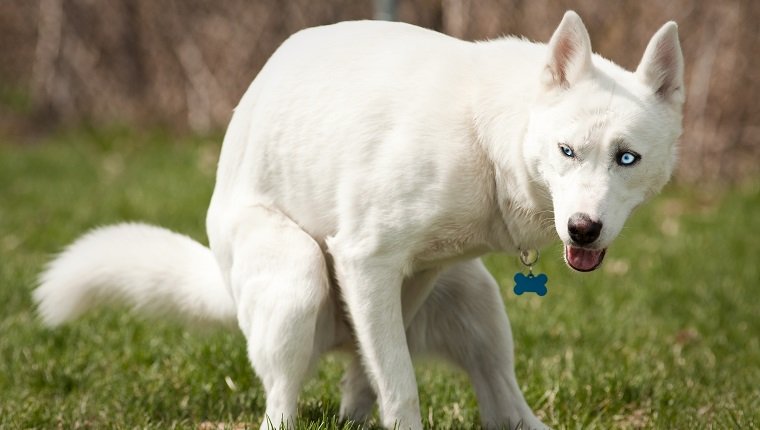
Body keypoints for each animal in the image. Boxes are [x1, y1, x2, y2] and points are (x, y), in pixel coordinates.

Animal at [34, 10, 684, 430]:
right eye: (567, 151)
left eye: (627, 159)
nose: (583, 230)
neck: (485, 135)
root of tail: (220, 274)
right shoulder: (364, 261)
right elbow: (401, 391)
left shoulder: (410, 276)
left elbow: (379, 377)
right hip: (298, 279)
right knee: (280, 405)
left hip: (477, 303)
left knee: (499, 405)